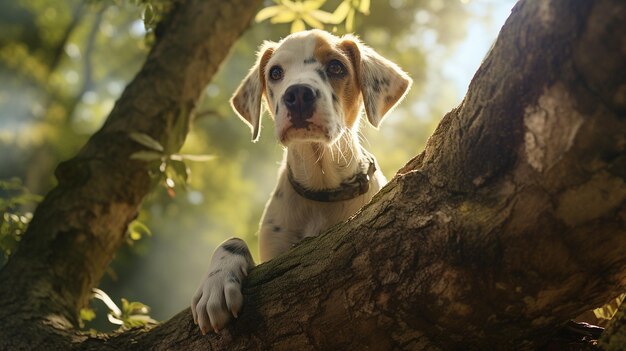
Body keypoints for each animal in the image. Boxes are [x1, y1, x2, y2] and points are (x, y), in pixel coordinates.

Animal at [193, 28, 412, 334]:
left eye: (336, 66)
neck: (321, 188)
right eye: (275, 72)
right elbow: (233, 240)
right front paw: (215, 283)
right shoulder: (273, 256)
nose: (297, 94)